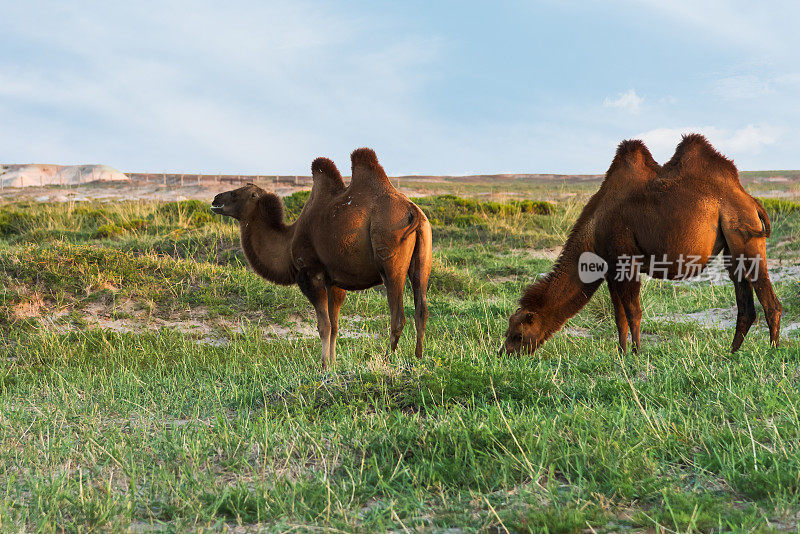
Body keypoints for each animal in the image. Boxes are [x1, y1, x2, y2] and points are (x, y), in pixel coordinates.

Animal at [208, 149, 432, 370]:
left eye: (235, 193)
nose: (215, 199)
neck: (288, 241)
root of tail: (413, 212)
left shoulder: (310, 274)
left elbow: (323, 325)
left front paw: (323, 365)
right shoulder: (335, 281)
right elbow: (335, 325)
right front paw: (333, 362)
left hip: (389, 255)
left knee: (398, 315)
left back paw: (386, 359)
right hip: (423, 256)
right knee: (421, 309)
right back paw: (418, 357)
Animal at [500, 135, 780, 356]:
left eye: (517, 334)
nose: (504, 354)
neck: (593, 228)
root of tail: (751, 201)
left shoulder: (625, 260)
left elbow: (633, 311)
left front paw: (636, 353)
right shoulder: (610, 269)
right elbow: (619, 316)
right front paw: (621, 353)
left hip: (744, 232)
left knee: (769, 301)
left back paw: (772, 352)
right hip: (733, 244)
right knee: (745, 303)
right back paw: (731, 353)